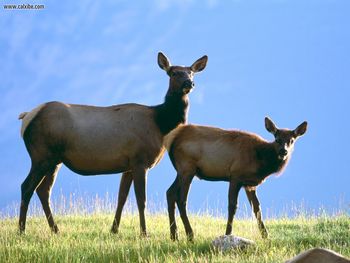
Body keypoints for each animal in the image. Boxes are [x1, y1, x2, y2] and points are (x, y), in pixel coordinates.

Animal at [18, 52, 208, 237]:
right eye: (173, 73)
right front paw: (144, 233)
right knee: (27, 187)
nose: (189, 83)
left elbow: (121, 197)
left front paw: (114, 229)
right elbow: (141, 200)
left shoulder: (128, 165)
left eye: (191, 72)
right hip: (41, 155)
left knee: (43, 190)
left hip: (54, 160)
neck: (161, 125)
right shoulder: (140, 160)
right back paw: (21, 230)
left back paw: (55, 229)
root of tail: (26, 117)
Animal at [165, 117, 308, 241]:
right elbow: (232, 206)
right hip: (187, 167)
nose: (283, 151)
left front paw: (266, 236)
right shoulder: (235, 175)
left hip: (182, 171)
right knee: (181, 199)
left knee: (170, 193)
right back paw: (190, 235)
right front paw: (228, 234)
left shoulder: (249, 184)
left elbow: (257, 208)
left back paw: (174, 235)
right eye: (277, 139)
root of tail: (172, 140)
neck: (260, 161)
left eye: (292, 140)